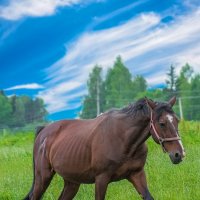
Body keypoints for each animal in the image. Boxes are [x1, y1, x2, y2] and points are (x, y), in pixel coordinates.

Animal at [24, 96, 185, 199]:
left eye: (177, 120)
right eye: (162, 123)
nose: (179, 154)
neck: (124, 140)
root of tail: (43, 131)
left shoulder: (137, 175)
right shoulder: (101, 179)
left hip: (72, 182)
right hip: (43, 178)